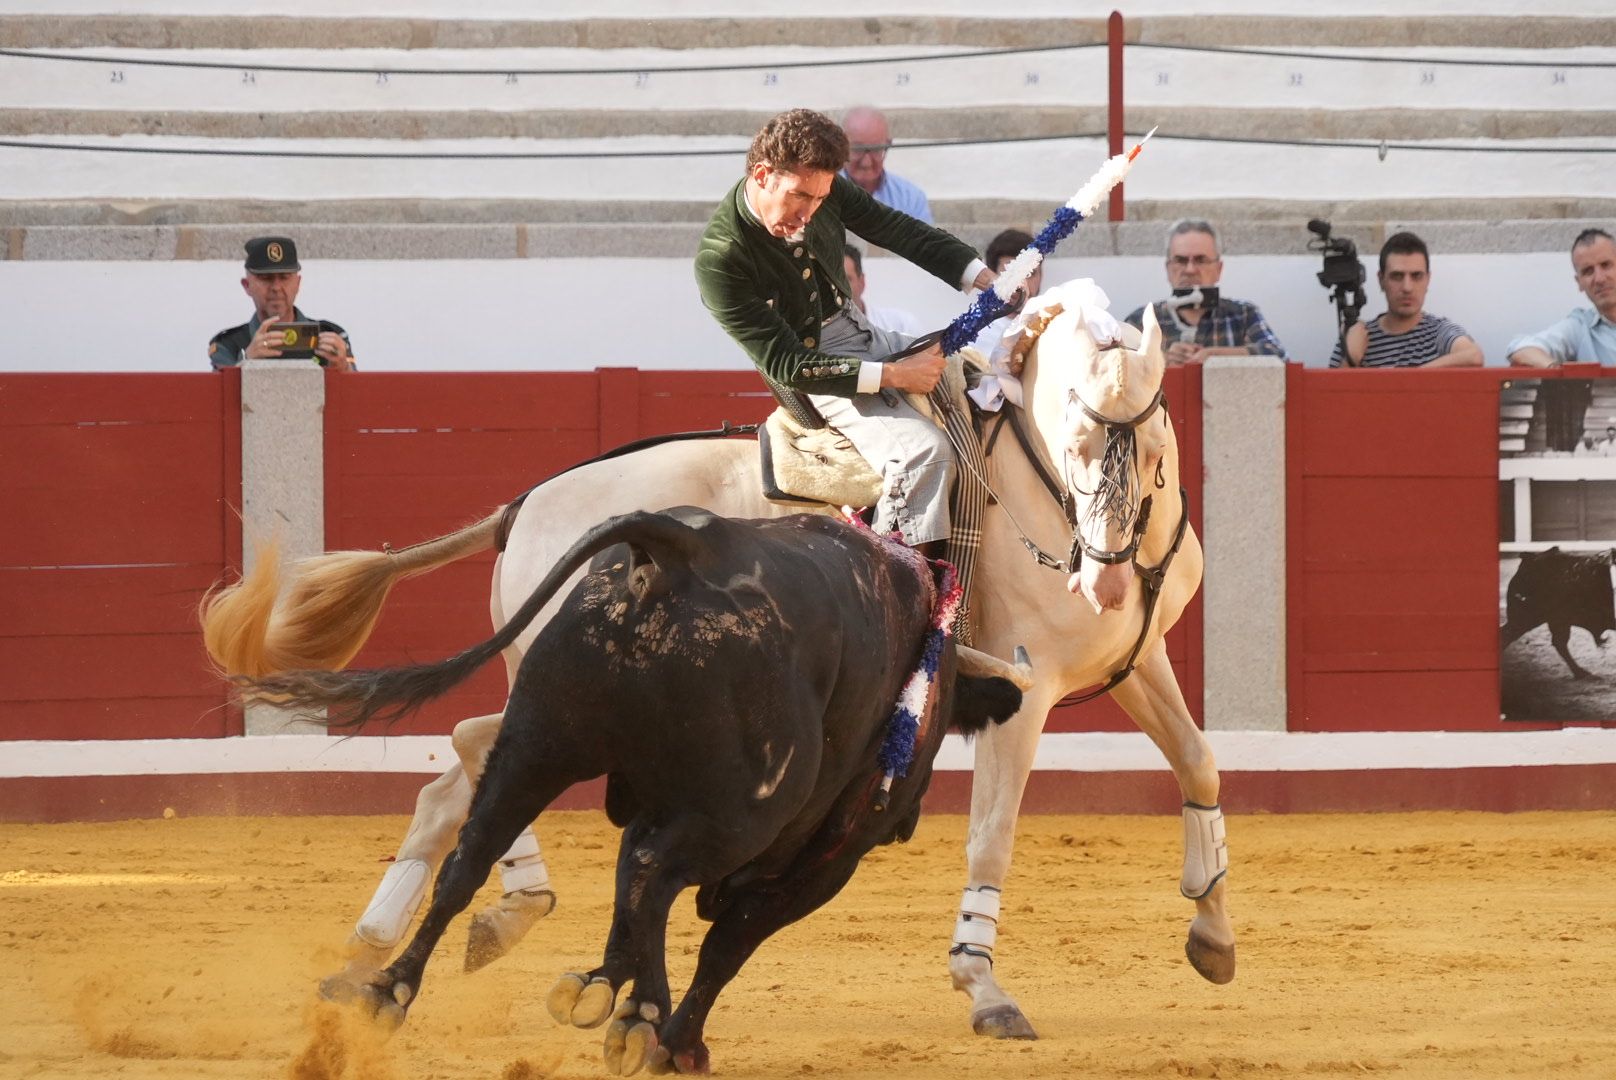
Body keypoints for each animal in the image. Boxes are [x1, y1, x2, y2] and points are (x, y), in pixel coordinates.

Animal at [235, 507, 1021, 1073]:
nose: (907, 817)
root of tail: (680, 549)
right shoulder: (821, 864)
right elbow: (726, 940)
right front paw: (675, 1040)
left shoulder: (648, 801)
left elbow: (627, 895)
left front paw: (601, 988)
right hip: (740, 812)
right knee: (652, 873)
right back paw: (646, 1019)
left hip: (538, 743)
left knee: (475, 857)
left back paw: (387, 991)